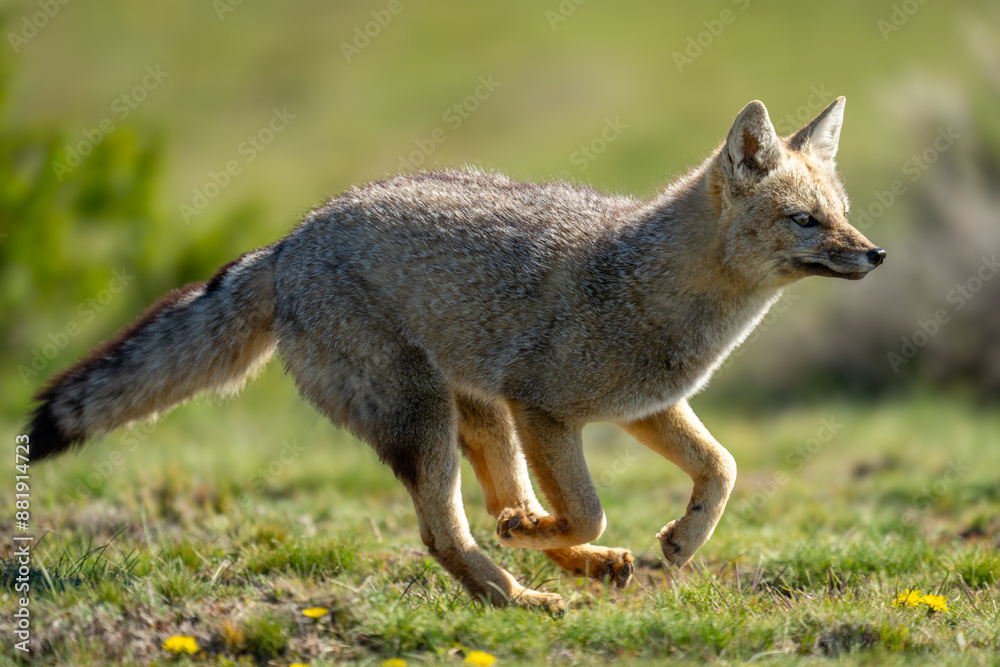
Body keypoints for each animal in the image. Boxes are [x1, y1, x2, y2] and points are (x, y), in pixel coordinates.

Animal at [26, 97, 884, 611]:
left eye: (842, 213)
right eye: (805, 220)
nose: (876, 255)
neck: (652, 283)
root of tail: (290, 242)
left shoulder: (646, 406)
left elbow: (722, 467)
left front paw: (682, 538)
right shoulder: (546, 407)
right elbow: (589, 503)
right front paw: (569, 538)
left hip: (478, 416)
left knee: (503, 502)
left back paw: (572, 559)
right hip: (431, 421)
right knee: (448, 532)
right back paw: (518, 592)